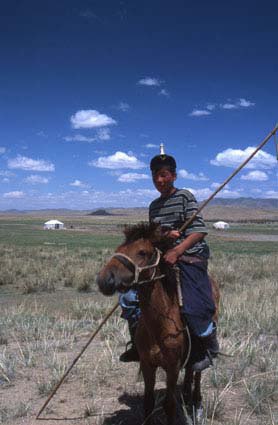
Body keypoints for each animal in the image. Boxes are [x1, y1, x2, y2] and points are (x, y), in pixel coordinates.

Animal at [97, 222, 219, 424]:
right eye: (119, 249)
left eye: (142, 252)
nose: (104, 279)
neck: (159, 324)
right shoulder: (147, 365)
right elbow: (148, 403)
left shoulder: (172, 367)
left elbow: (169, 405)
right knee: (190, 370)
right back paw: (186, 394)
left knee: (198, 372)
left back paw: (196, 403)